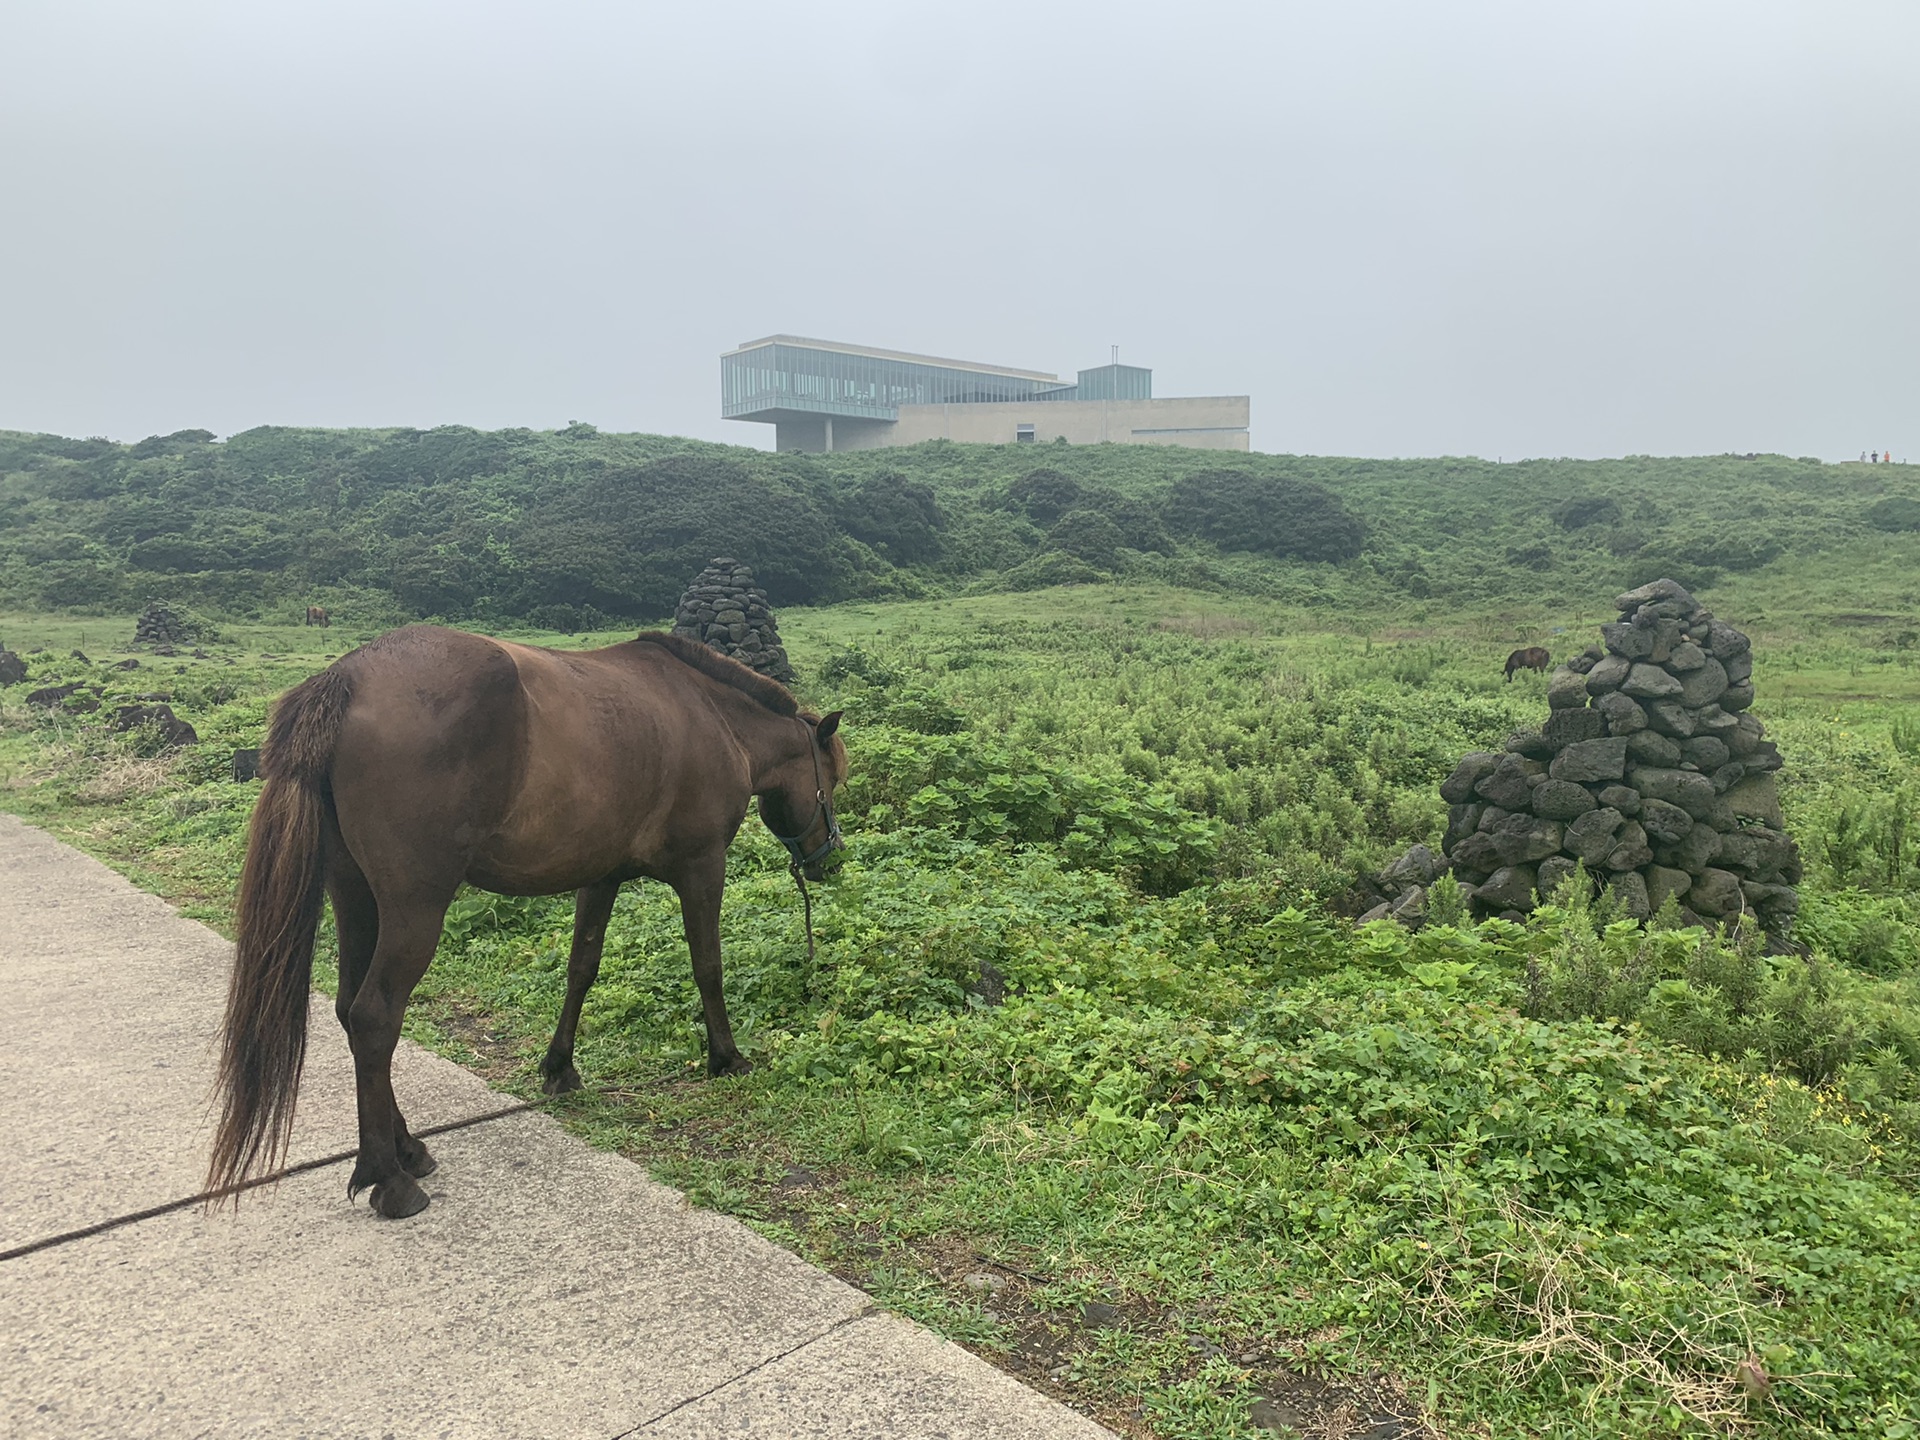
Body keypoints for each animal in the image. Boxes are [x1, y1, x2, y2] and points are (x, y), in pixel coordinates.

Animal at [206, 629, 844, 1221]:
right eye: (833, 780)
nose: (827, 860)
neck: (711, 715)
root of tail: (348, 677)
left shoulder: (601, 876)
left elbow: (582, 968)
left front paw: (560, 1069)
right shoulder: (703, 867)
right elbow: (708, 965)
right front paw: (726, 1057)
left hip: (355, 897)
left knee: (346, 1009)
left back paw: (408, 1148)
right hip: (414, 909)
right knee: (374, 1016)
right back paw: (389, 1178)